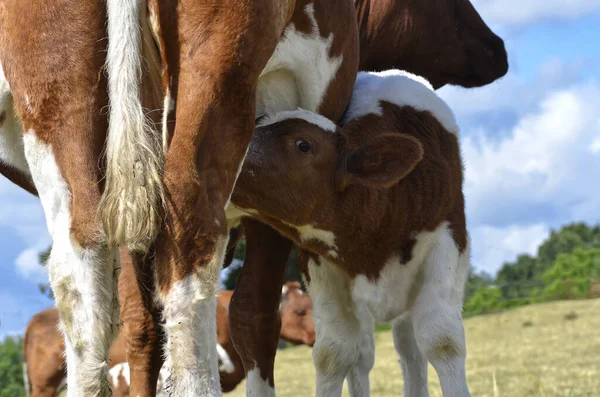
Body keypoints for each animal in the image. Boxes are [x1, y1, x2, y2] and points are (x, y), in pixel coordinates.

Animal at [231, 69, 474, 394]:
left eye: (303, 144)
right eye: (258, 122)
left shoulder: (448, 239)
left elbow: (441, 341)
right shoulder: (319, 264)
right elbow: (334, 353)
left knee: (409, 347)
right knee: (364, 355)